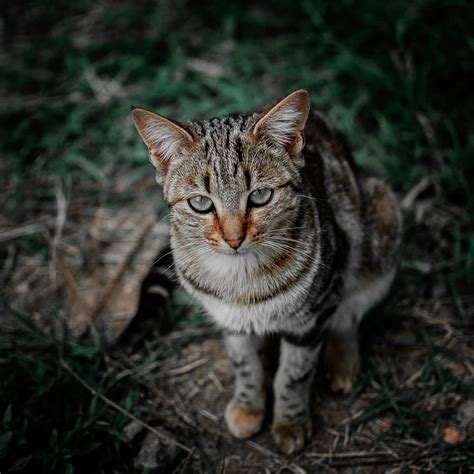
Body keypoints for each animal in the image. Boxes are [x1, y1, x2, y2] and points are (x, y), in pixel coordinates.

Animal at [131, 90, 402, 454]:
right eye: (200, 203)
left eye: (260, 196)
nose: (234, 239)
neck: (241, 280)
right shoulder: (229, 320)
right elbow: (245, 365)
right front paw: (248, 407)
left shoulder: (311, 316)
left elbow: (294, 374)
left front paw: (290, 422)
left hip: (379, 223)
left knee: (349, 311)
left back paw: (342, 360)